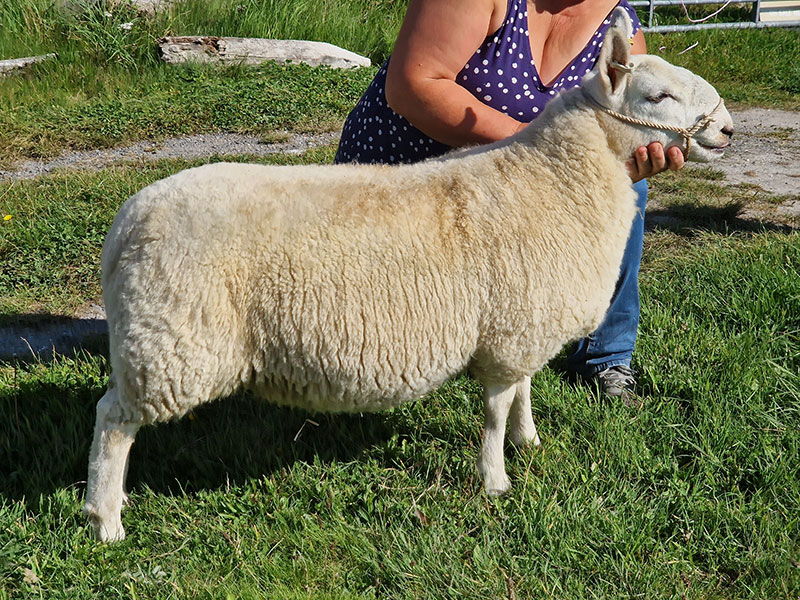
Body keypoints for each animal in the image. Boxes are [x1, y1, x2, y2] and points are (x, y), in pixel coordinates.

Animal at [84, 8, 733, 542]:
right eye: (660, 95)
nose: (726, 128)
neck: (554, 179)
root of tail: (125, 224)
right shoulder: (508, 332)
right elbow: (494, 411)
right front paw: (496, 480)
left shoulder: (521, 327)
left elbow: (523, 391)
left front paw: (529, 440)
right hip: (172, 344)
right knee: (112, 420)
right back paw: (106, 520)